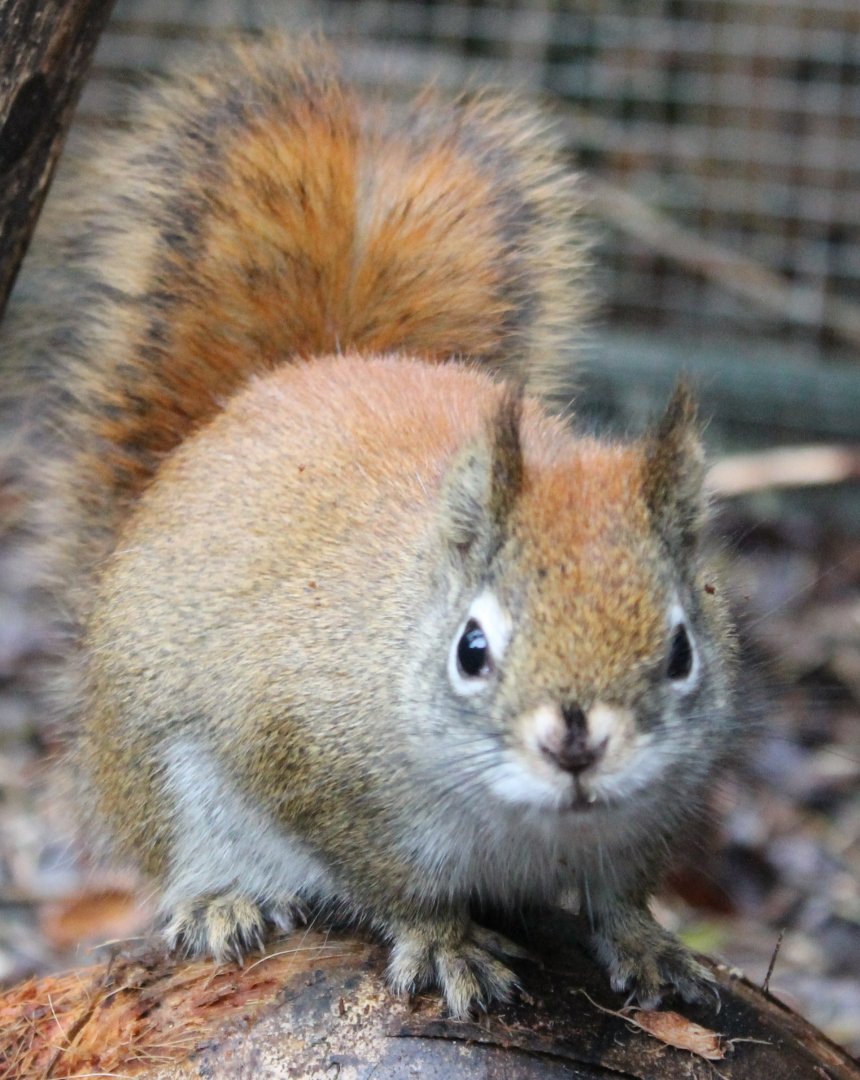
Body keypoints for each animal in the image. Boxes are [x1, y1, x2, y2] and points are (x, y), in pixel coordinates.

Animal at [9, 38, 735, 1018]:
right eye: (472, 648)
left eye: (682, 651)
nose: (576, 743)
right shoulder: (304, 755)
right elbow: (391, 880)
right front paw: (442, 941)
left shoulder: (660, 806)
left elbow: (623, 890)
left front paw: (647, 941)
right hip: (161, 780)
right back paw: (220, 902)